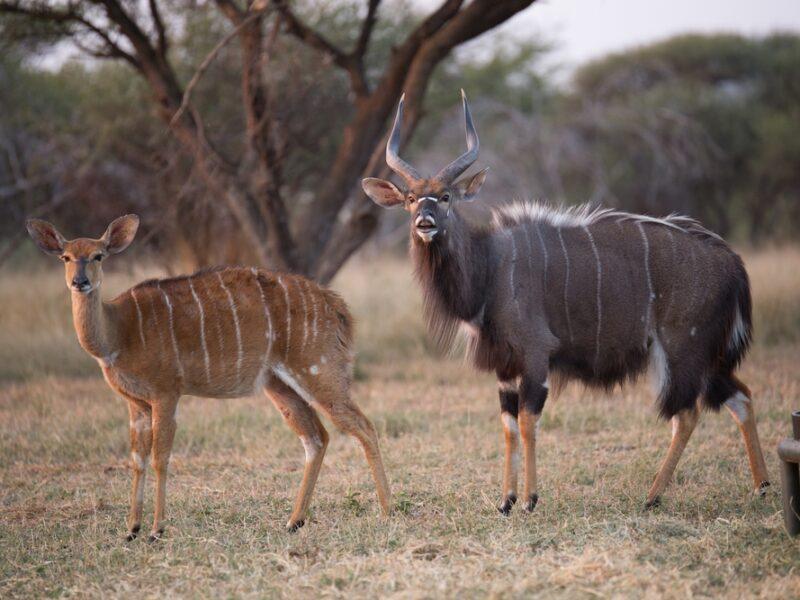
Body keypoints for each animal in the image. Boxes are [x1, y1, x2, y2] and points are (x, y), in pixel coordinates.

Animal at [26, 215, 392, 540]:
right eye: (66, 256)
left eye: (98, 255)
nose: (79, 282)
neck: (117, 332)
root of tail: (338, 308)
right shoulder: (136, 404)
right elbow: (137, 459)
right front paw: (131, 530)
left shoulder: (166, 394)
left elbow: (160, 457)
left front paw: (156, 530)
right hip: (278, 385)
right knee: (316, 437)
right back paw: (293, 522)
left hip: (318, 371)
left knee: (363, 426)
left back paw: (387, 511)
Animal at [362, 91, 770, 514]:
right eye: (410, 198)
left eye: (445, 197)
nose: (424, 222)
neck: (490, 266)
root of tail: (732, 261)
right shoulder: (505, 367)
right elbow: (508, 425)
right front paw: (505, 501)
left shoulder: (536, 355)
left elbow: (528, 422)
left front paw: (529, 500)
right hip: (708, 357)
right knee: (741, 397)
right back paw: (762, 487)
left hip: (681, 350)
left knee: (686, 413)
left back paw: (652, 496)